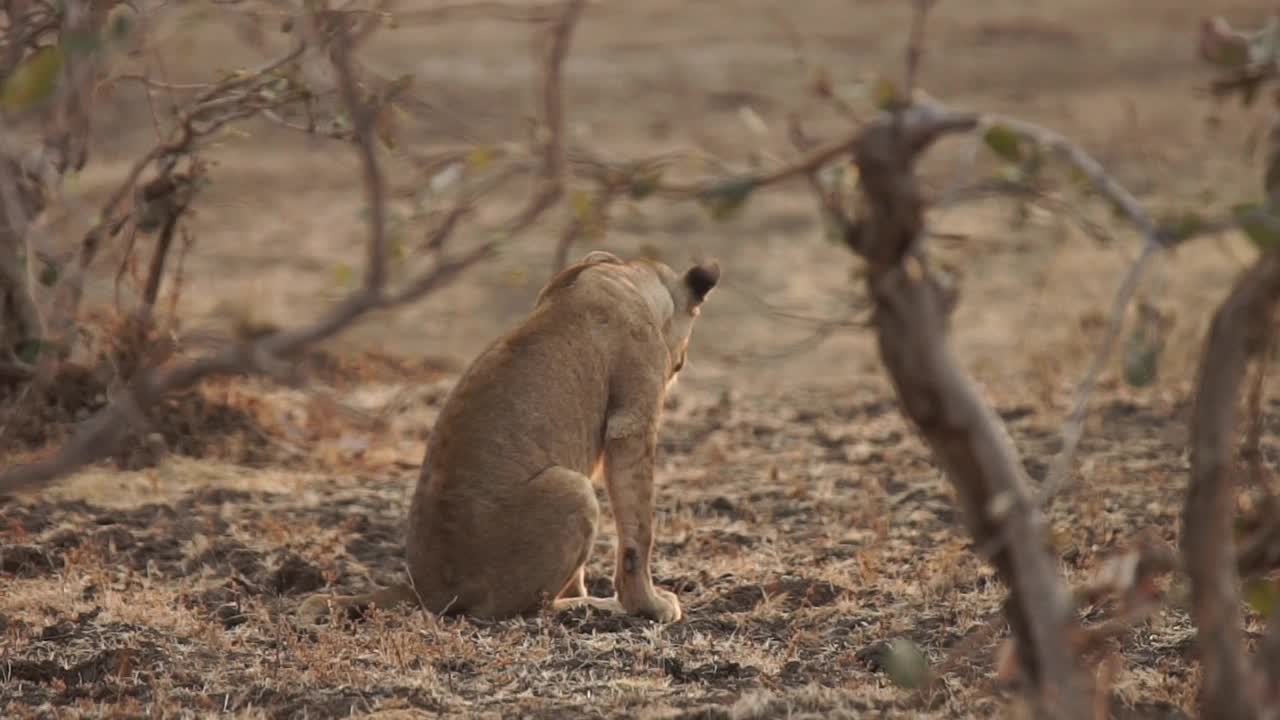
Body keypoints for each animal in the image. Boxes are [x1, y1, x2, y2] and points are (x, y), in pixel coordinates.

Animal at [299, 249, 721, 620]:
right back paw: (592, 606)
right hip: (571, 487)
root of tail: (425, 591)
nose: (680, 363)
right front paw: (648, 605)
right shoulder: (632, 422)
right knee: (526, 608)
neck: (622, 272)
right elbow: (639, 531)